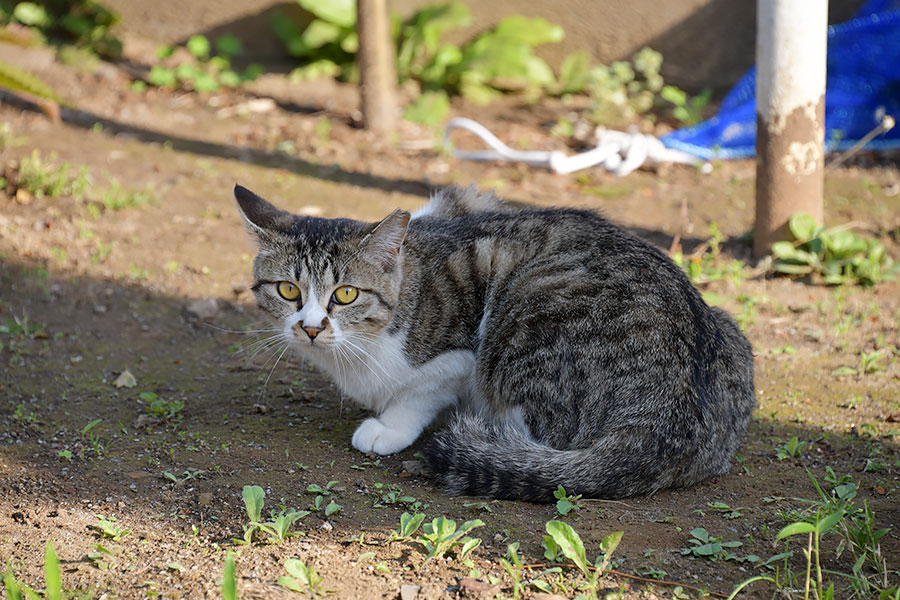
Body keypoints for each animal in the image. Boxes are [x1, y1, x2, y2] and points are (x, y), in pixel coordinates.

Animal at [236, 184, 756, 502]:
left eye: (345, 294)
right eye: (288, 290)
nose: (311, 327)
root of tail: (670, 418)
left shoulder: (462, 350)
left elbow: (421, 391)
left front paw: (388, 426)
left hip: (527, 310)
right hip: (729, 330)